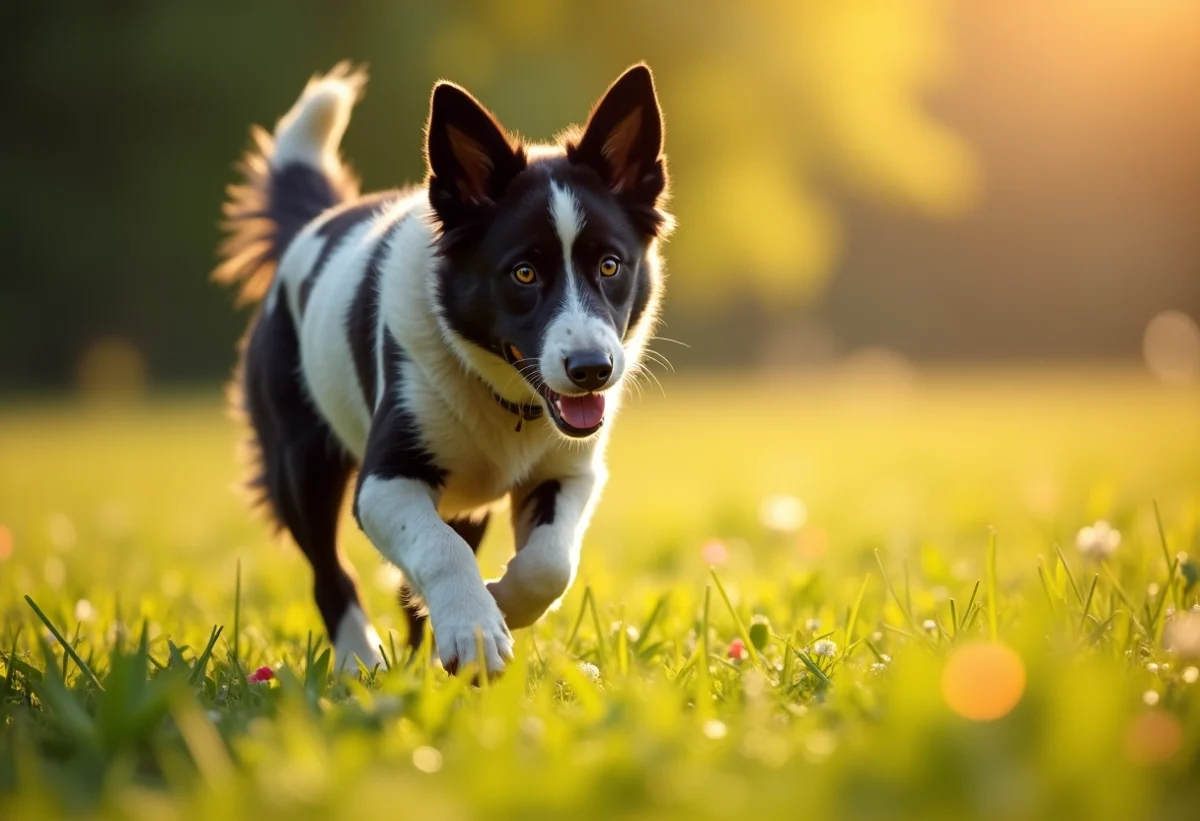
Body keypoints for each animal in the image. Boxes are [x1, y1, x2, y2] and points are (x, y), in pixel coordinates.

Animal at [211, 64, 672, 676]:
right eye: (523, 273)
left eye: (611, 265)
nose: (592, 370)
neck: (506, 400)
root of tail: (310, 226)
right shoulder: (383, 484)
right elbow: (440, 550)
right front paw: (475, 630)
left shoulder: (569, 473)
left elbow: (551, 563)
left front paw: (500, 602)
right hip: (300, 461)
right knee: (330, 573)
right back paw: (359, 662)